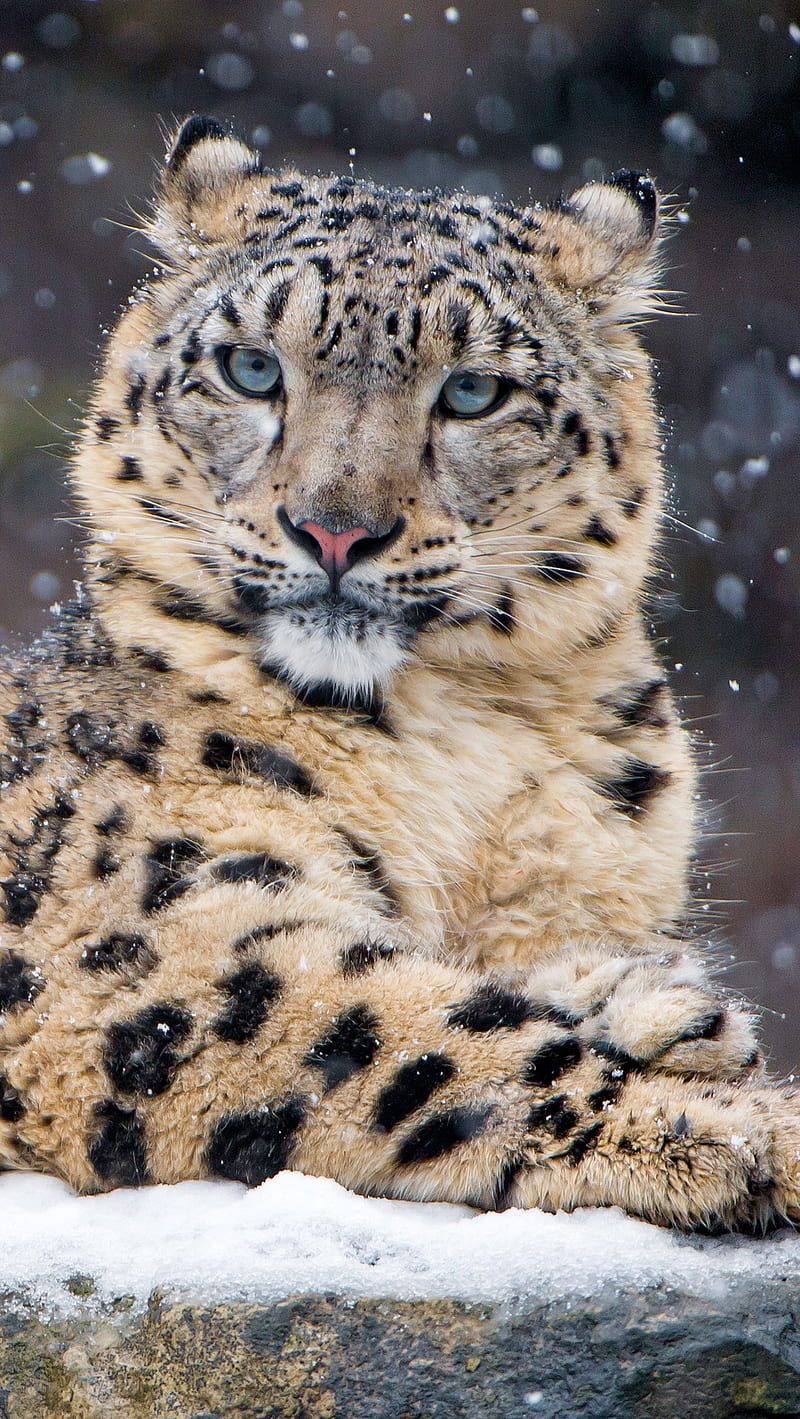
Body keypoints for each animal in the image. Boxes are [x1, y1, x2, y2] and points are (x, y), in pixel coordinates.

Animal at [0, 113, 798, 1231]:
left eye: (472, 391)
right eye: (251, 369)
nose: (335, 528)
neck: (462, 751)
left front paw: (658, 1001)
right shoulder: (147, 949)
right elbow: (431, 1039)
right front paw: (753, 1127)